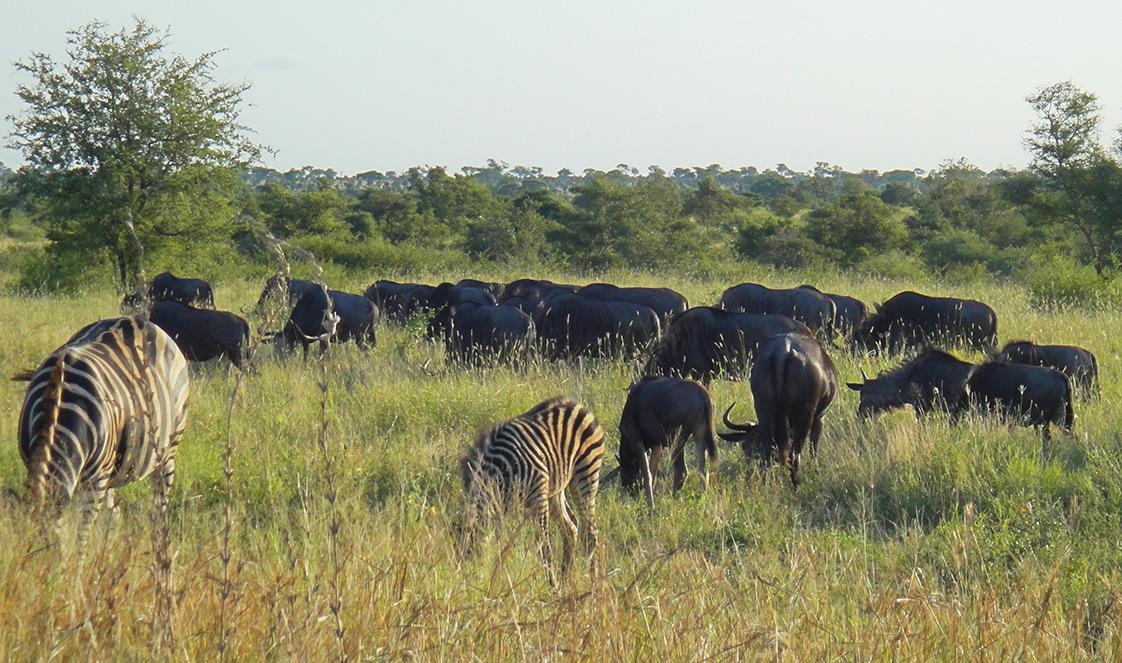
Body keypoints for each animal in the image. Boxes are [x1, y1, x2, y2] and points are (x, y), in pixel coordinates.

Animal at [14, 317, 190, 546]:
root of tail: (137, 320)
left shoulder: (94, 482)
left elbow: (81, 537)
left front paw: (77, 556)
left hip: (167, 452)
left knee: (160, 509)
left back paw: (160, 547)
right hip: (114, 465)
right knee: (114, 516)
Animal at [458, 396, 605, 585]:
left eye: (472, 554)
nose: (467, 582)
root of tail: (576, 404)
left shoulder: (537, 498)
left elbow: (544, 547)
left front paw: (552, 586)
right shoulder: (502, 508)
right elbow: (504, 544)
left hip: (585, 475)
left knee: (590, 533)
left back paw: (594, 583)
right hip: (555, 488)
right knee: (570, 528)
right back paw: (565, 579)